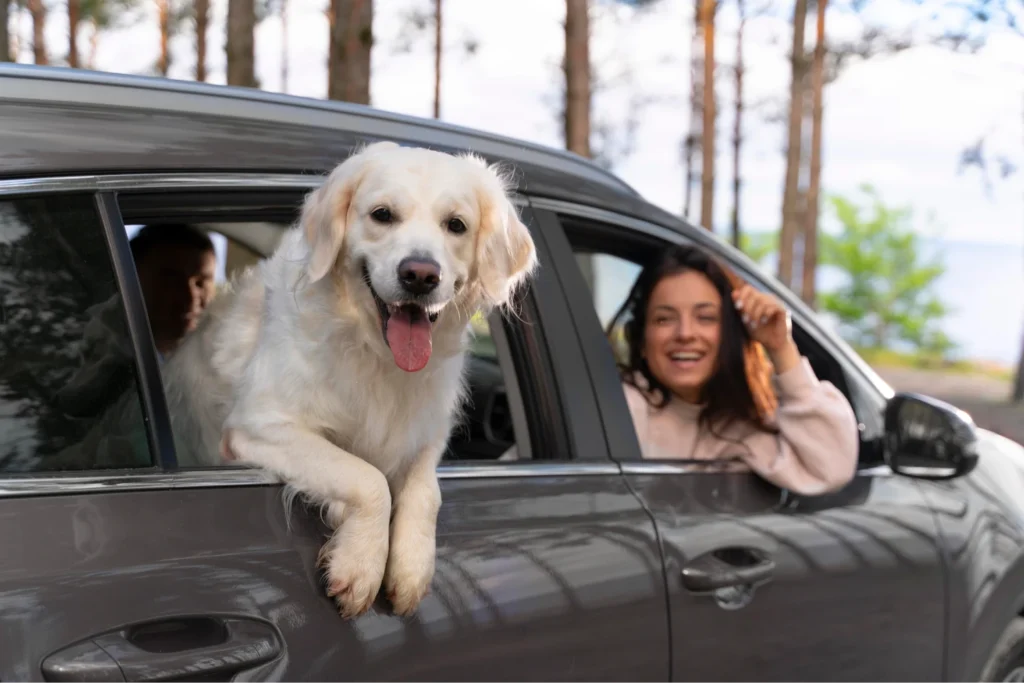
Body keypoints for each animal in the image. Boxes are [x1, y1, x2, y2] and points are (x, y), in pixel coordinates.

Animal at [158, 141, 540, 618]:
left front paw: (412, 567)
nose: (420, 275)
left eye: (456, 225)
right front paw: (360, 564)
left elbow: (426, 490)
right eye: (382, 214)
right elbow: (366, 477)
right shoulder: (257, 426)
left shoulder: (425, 434)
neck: (375, 354)